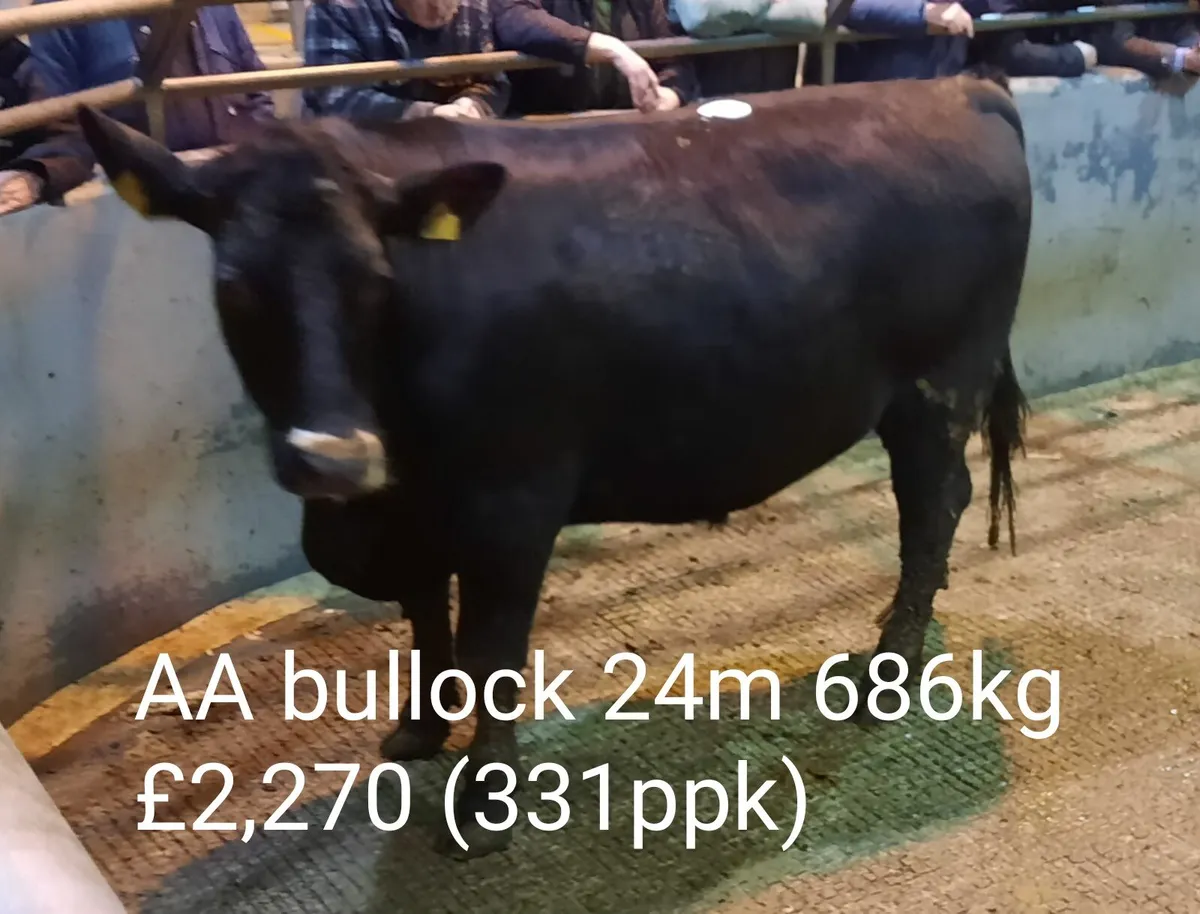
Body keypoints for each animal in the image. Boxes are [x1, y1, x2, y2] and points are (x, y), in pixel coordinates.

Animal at [75, 71, 1031, 858]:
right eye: (234, 288)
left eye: (375, 280)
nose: (334, 460)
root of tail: (961, 85)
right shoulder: (415, 512)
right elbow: (428, 620)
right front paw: (419, 730)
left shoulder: (512, 502)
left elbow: (493, 648)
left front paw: (481, 805)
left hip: (939, 386)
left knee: (932, 506)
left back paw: (888, 671)